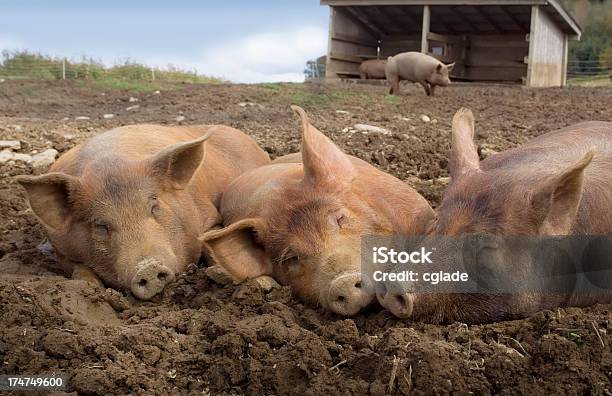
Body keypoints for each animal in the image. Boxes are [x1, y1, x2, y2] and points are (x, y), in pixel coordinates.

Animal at [16, 125, 270, 298]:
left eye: (154, 206)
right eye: (100, 225)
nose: (148, 267)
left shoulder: (208, 217)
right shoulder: (60, 249)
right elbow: (79, 270)